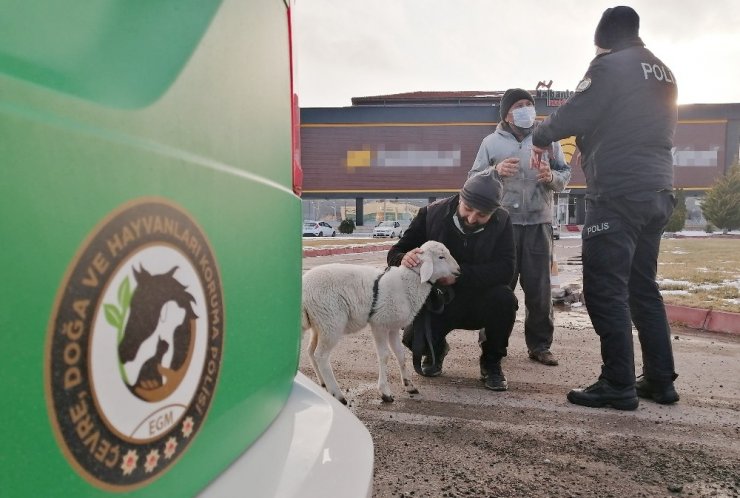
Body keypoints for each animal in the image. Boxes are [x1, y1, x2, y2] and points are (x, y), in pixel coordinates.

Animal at [300, 241, 456, 404]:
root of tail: (304, 289)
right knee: (321, 356)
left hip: (319, 323)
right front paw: (385, 392)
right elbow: (384, 355)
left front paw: (409, 385)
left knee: (311, 351)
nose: (458, 271)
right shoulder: (379, 324)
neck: (405, 284)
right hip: (331, 322)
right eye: (441, 257)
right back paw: (338, 394)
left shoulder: (393, 327)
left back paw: (323, 383)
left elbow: (400, 354)